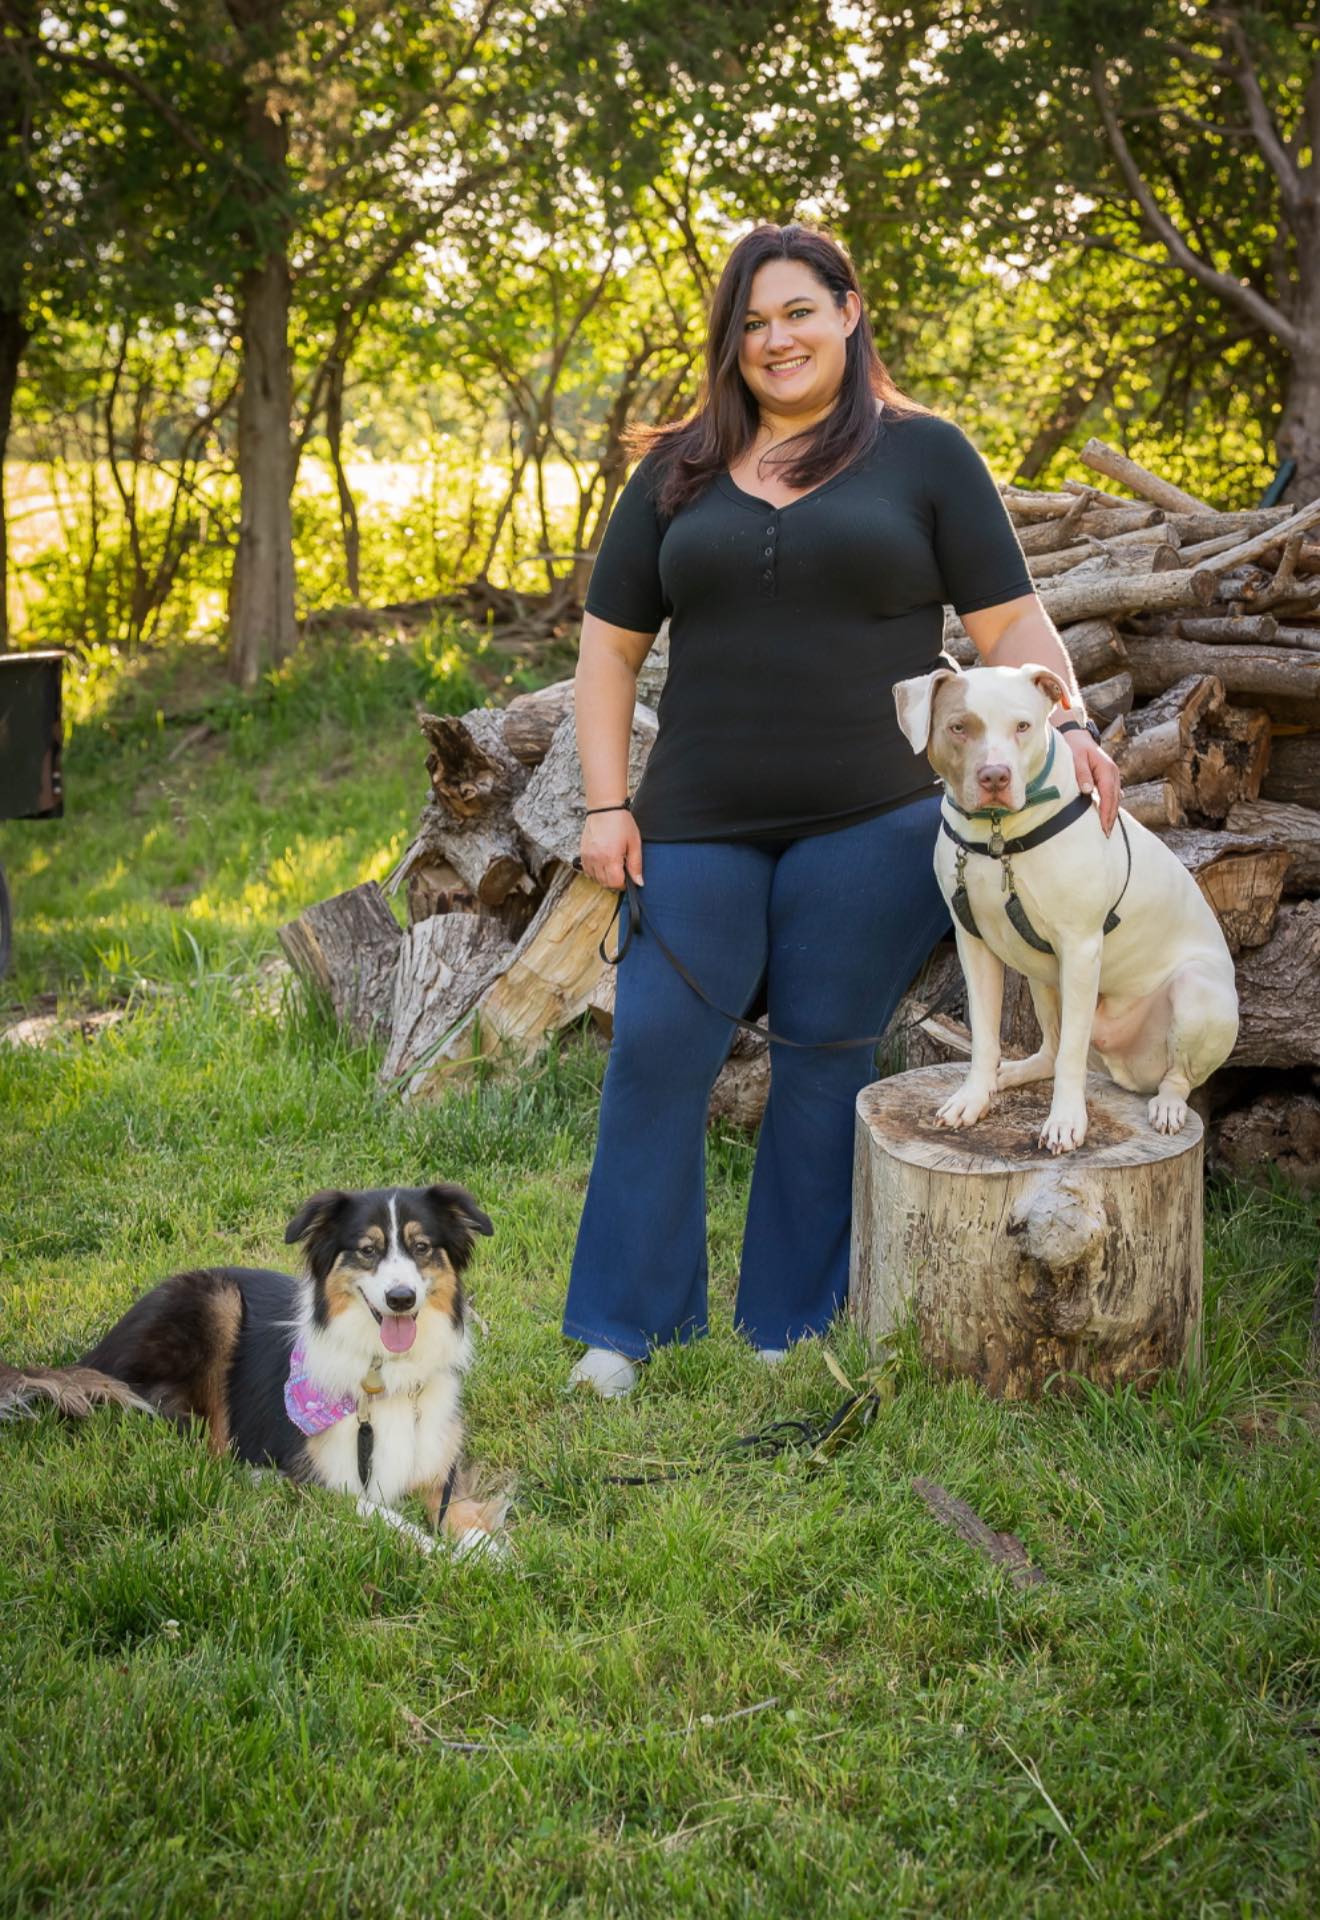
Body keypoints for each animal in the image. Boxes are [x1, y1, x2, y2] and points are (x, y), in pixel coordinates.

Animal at [0, 1183, 507, 1557]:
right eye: (367, 1250)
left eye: (422, 1247)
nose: (401, 1298)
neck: (383, 1372)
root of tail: (94, 1354)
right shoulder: (328, 1480)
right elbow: (392, 1520)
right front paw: (441, 1555)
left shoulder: (438, 1460)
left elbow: (457, 1508)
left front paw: (486, 1552)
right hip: (215, 1302)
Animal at [893, 662, 1239, 1154]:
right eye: (959, 727)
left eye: (1023, 726)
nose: (995, 776)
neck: (998, 836)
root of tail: (1127, 1065)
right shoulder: (974, 944)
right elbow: (985, 1036)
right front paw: (973, 1098)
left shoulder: (1079, 949)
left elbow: (1072, 1055)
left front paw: (1065, 1121)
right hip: (1041, 979)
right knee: (1051, 1048)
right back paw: (1010, 1074)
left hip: (1198, 994)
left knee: (1177, 1076)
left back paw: (1168, 1106)